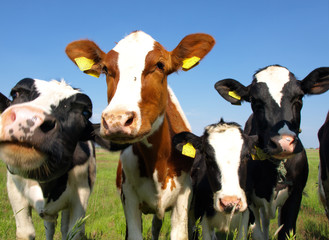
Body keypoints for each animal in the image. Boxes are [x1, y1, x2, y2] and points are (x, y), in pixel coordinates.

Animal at [0, 78, 114, 240]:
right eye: (15, 94)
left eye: (85, 112)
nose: (28, 119)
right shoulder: (14, 189)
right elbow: (25, 232)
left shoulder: (81, 195)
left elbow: (74, 232)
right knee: (50, 226)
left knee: (63, 226)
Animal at [66, 31, 215, 239]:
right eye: (105, 69)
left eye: (160, 65)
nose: (117, 120)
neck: (157, 162)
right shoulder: (128, 197)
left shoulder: (183, 198)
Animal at [214, 64, 328, 239]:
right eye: (255, 101)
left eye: (299, 98)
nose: (284, 142)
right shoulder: (248, 200)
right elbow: (258, 233)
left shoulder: (295, 195)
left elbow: (287, 231)